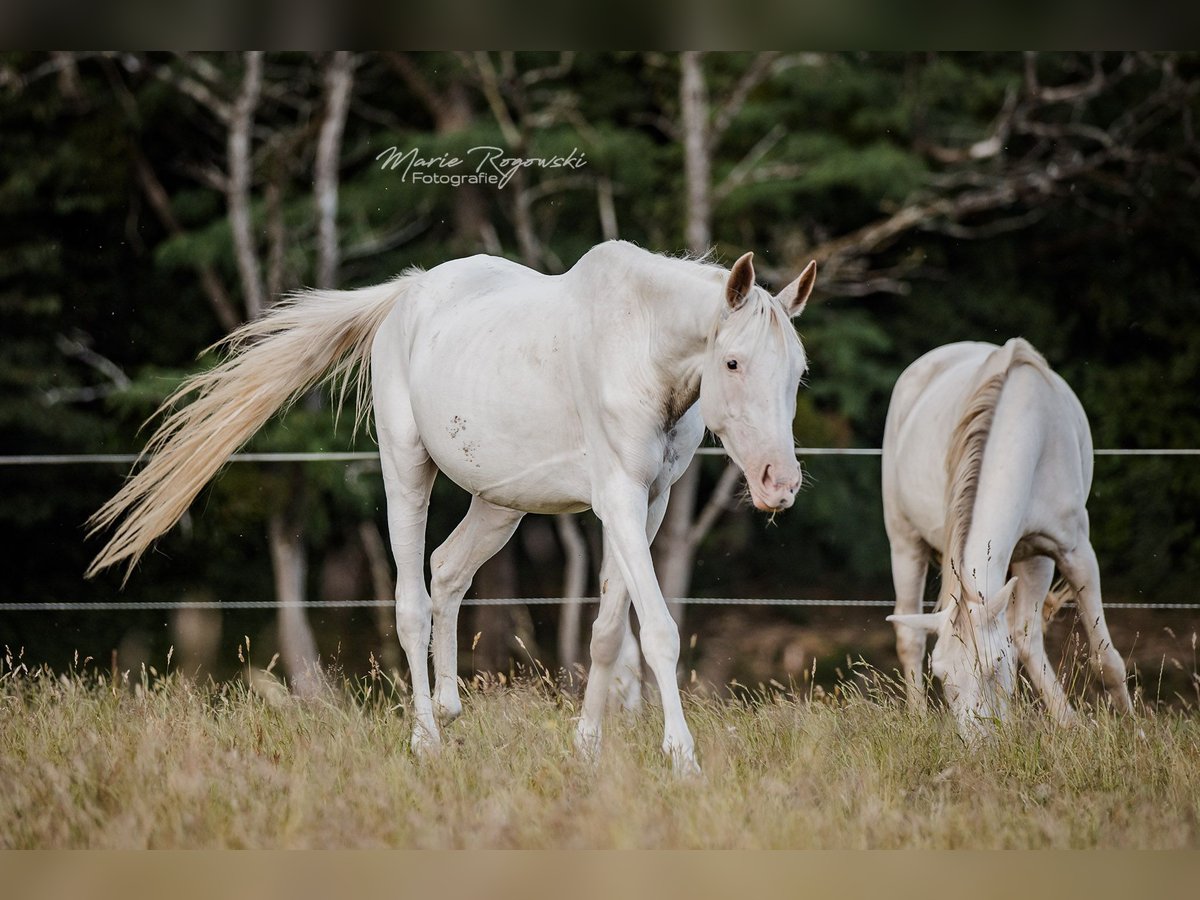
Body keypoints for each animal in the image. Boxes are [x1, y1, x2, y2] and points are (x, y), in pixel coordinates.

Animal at [87, 240, 816, 773]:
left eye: (798, 372)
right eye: (732, 363)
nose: (779, 483)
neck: (638, 344)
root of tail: (407, 293)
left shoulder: (648, 503)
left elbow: (610, 634)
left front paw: (586, 748)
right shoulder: (619, 500)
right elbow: (659, 632)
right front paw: (683, 759)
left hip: (500, 503)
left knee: (447, 570)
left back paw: (448, 706)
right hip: (406, 470)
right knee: (412, 600)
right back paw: (425, 739)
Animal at [882, 338, 1133, 738]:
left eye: (994, 663)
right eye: (943, 676)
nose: (977, 741)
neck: (1027, 432)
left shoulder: (1069, 552)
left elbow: (1104, 658)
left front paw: (1132, 730)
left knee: (1023, 635)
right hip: (904, 542)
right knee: (910, 634)